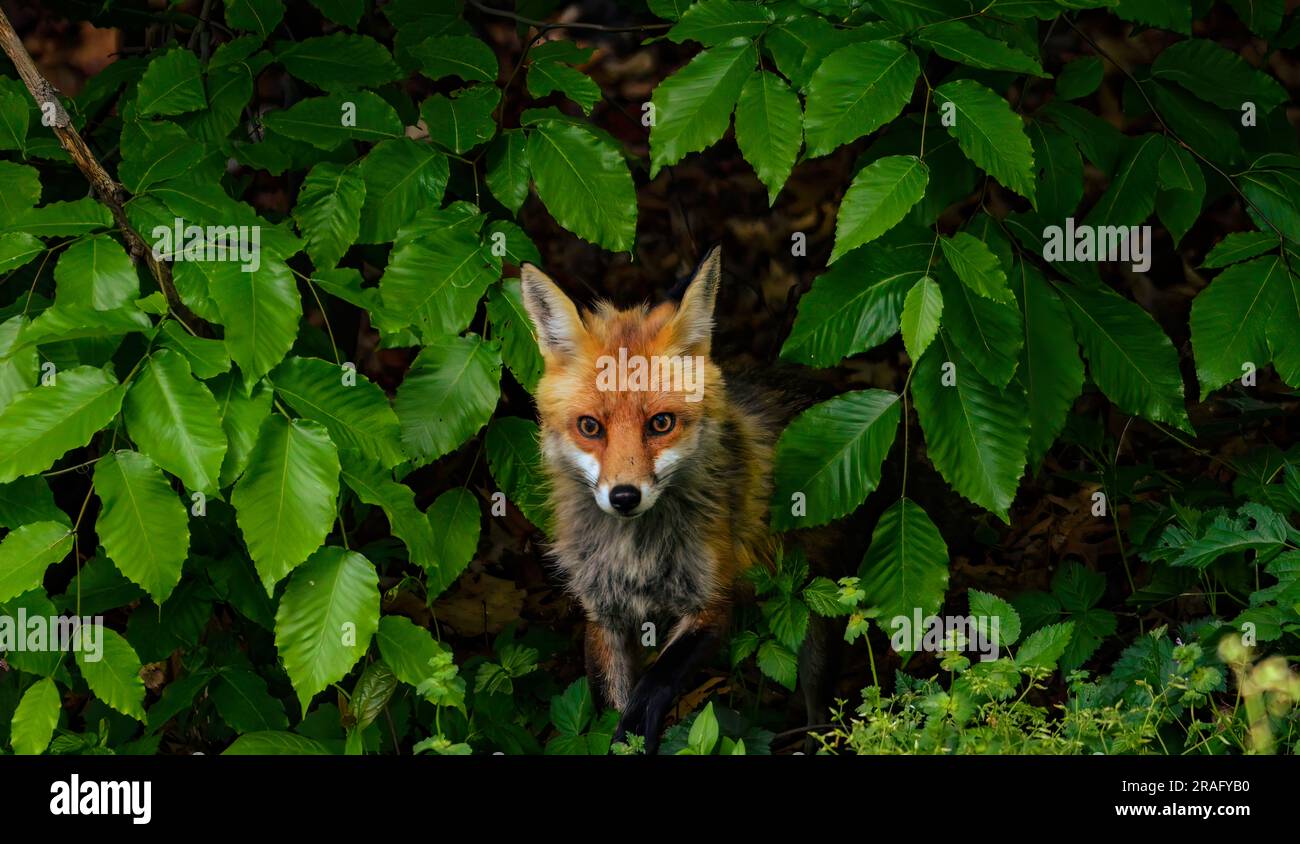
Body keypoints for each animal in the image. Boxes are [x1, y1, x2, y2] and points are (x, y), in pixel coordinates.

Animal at [517, 248, 832, 749]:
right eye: (590, 427)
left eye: (660, 423)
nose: (624, 496)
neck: (637, 554)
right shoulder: (602, 611)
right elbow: (610, 701)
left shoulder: (713, 595)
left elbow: (657, 681)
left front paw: (636, 729)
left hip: (814, 620)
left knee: (820, 701)